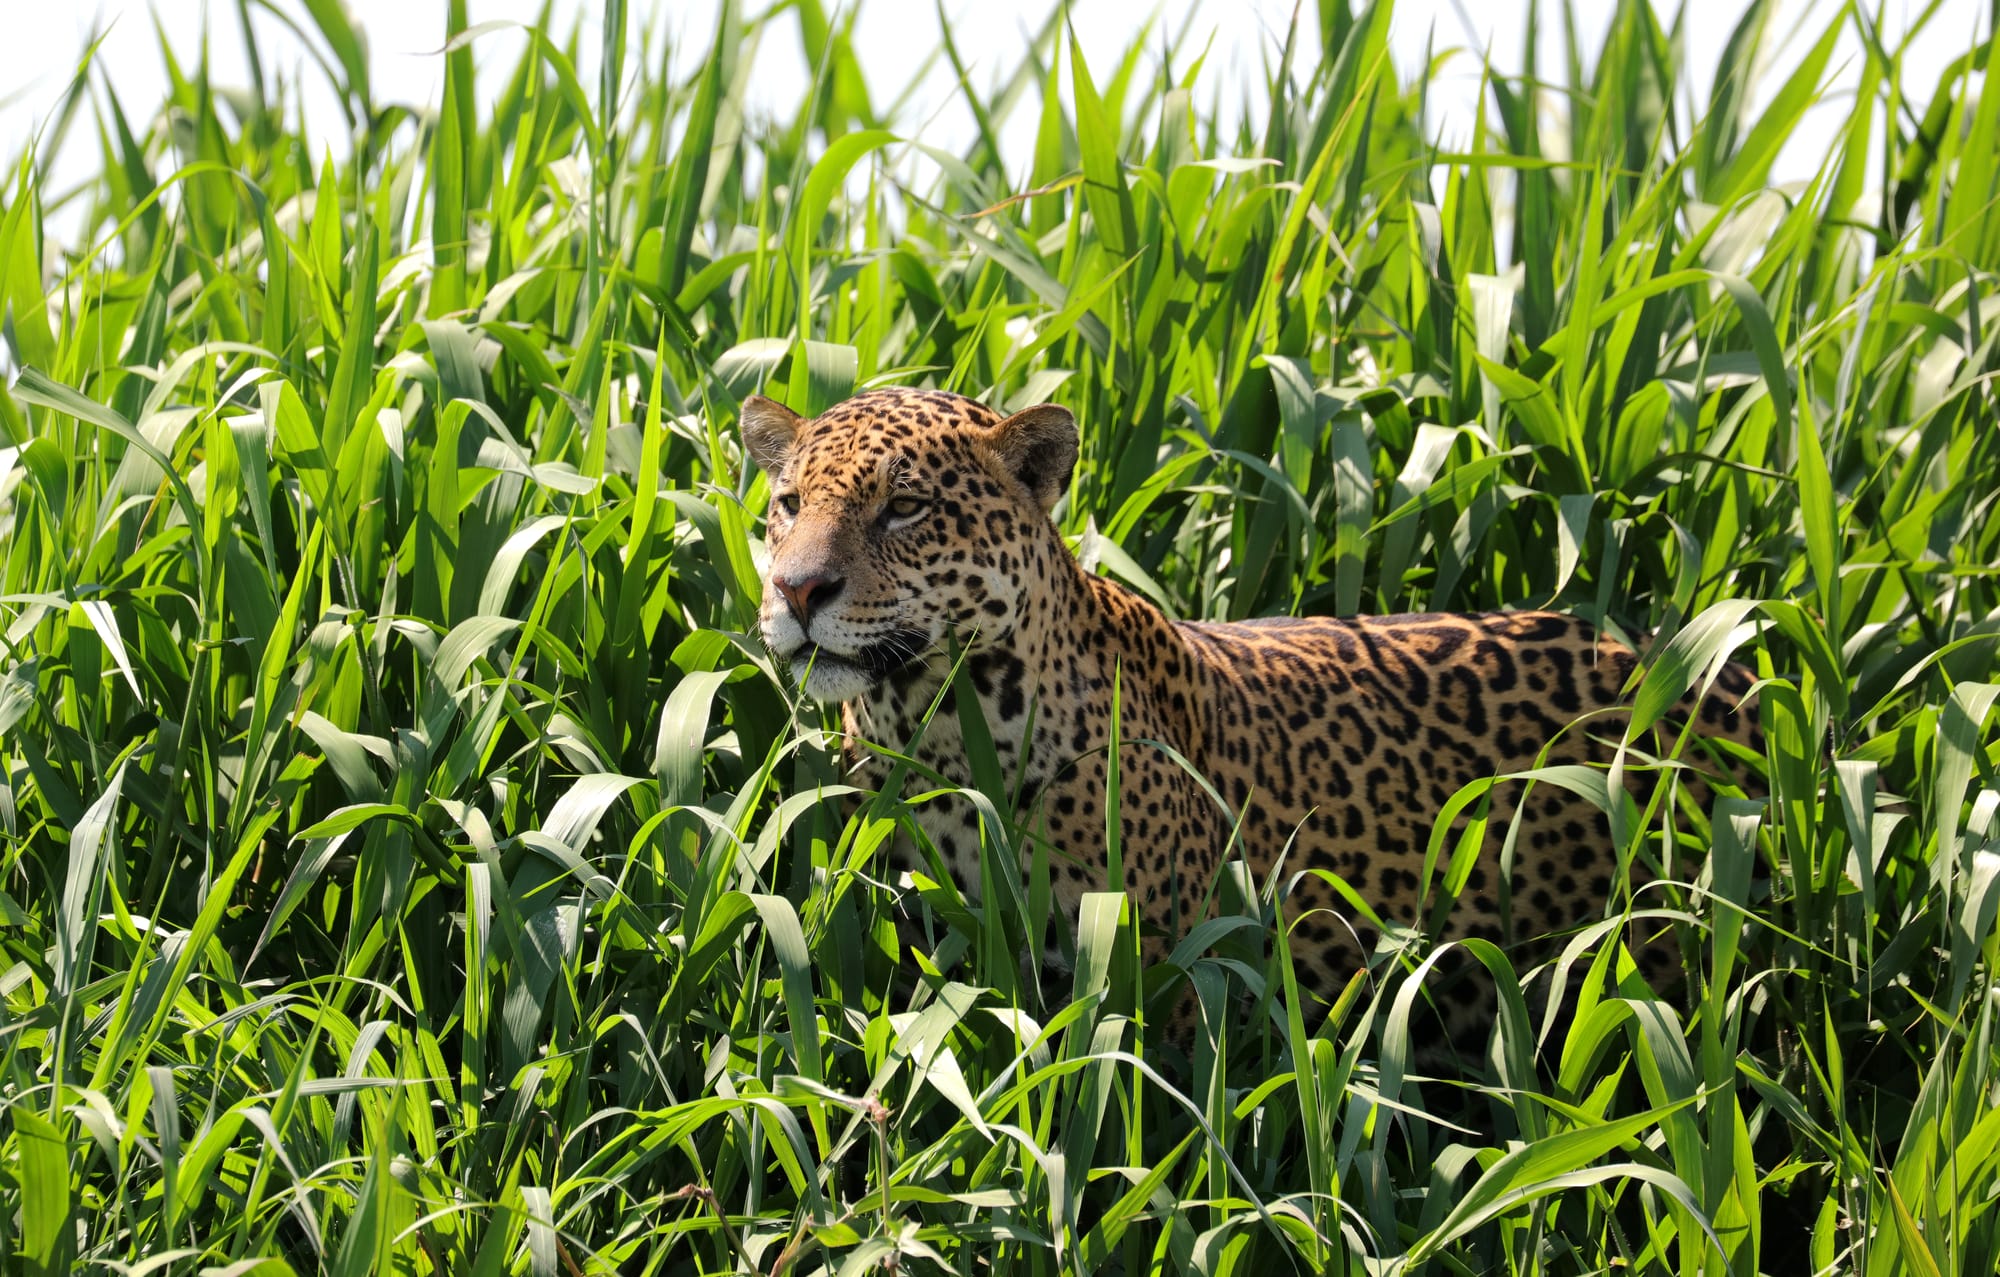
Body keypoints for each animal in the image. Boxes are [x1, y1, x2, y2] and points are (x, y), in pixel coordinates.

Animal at [739, 386, 1763, 1055]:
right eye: (787, 504)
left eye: (905, 508)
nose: (796, 589)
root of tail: (1712, 669)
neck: (943, 733)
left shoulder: (1163, 980)